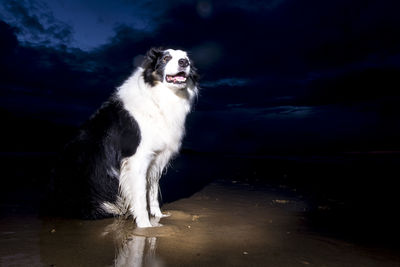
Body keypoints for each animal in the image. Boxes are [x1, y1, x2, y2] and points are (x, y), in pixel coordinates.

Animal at [49, 47, 199, 228]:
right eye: (166, 58)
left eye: (186, 58)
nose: (184, 62)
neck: (158, 97)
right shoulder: (137, 159)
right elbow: (140, 196)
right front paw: (145, 226)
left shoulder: (155, 159)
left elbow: (152, 192)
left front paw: (158, 217)